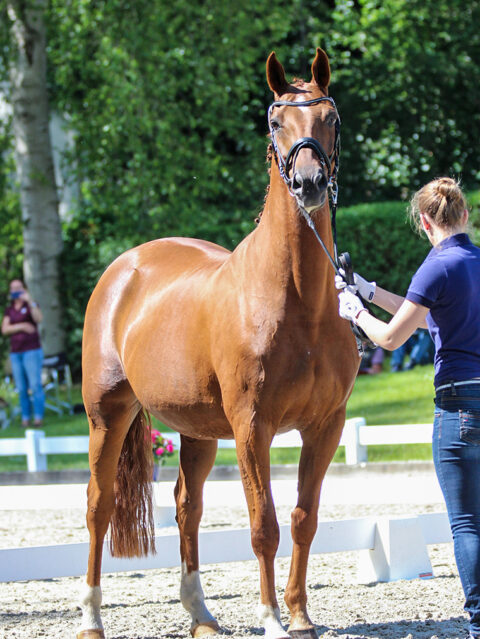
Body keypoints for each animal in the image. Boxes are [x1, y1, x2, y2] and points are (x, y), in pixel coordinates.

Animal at [77, 48, 358, 639]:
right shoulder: (253, 427)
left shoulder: (326, 425)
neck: (298, 302)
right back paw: (90, 618)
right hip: (106, 415)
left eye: (331, 118)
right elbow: (263, 525)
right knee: (98, 505)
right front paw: (271, 618)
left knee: (188, 506)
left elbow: (303, 519)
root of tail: (124, 266)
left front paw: (300, 616)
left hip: (198, 430)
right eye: (276, 122)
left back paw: (201, 615)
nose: (310, 182)